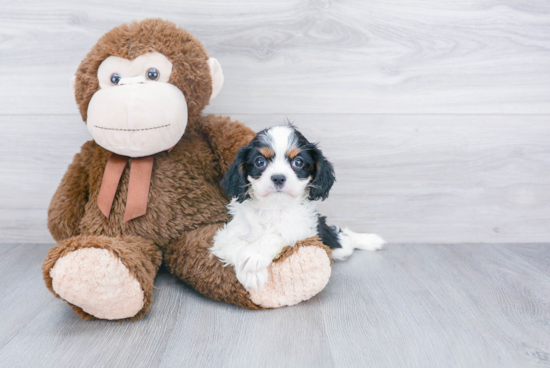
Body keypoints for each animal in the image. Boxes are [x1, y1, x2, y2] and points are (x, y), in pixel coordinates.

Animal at [211, 125, 388, 292]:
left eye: (298, 162)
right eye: (260, 162)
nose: (278, 178)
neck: (273, 206)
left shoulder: (304, 230)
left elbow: (279, 234)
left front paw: (254, 255)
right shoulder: (225, 234)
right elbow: (232, 244)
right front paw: (250, 272)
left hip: (337, 243)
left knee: (346, 236)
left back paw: (370, 240)